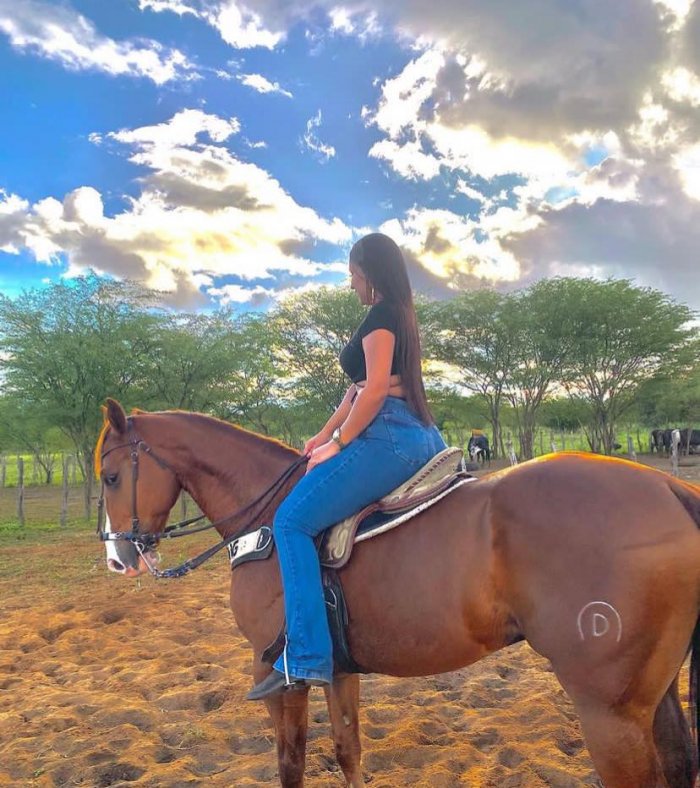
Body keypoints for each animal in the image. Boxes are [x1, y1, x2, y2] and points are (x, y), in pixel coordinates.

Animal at [97, 400, 700, 788]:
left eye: (110, 477)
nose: (118, 557)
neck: (266, 520)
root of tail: (669, 487)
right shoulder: (337, 669)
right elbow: (347, 750)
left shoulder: (277, 675)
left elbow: (291, 762)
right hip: (653, 698)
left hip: (609, 713)